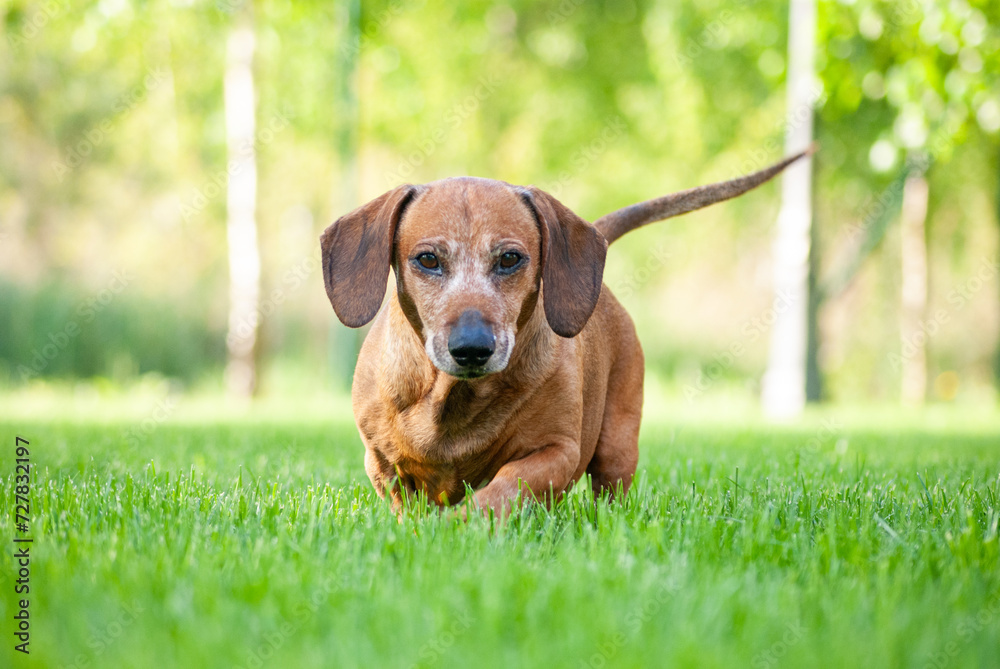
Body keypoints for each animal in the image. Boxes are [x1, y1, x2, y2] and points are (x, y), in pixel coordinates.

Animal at [320, 149, 812, 516]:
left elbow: (503, 489)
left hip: (616, 446)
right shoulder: (382, 464)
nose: (472, 348)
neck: (455, 399)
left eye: (510, 259)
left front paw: (460, 526)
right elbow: (406, 503)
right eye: (427, 259)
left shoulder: (556, 454)